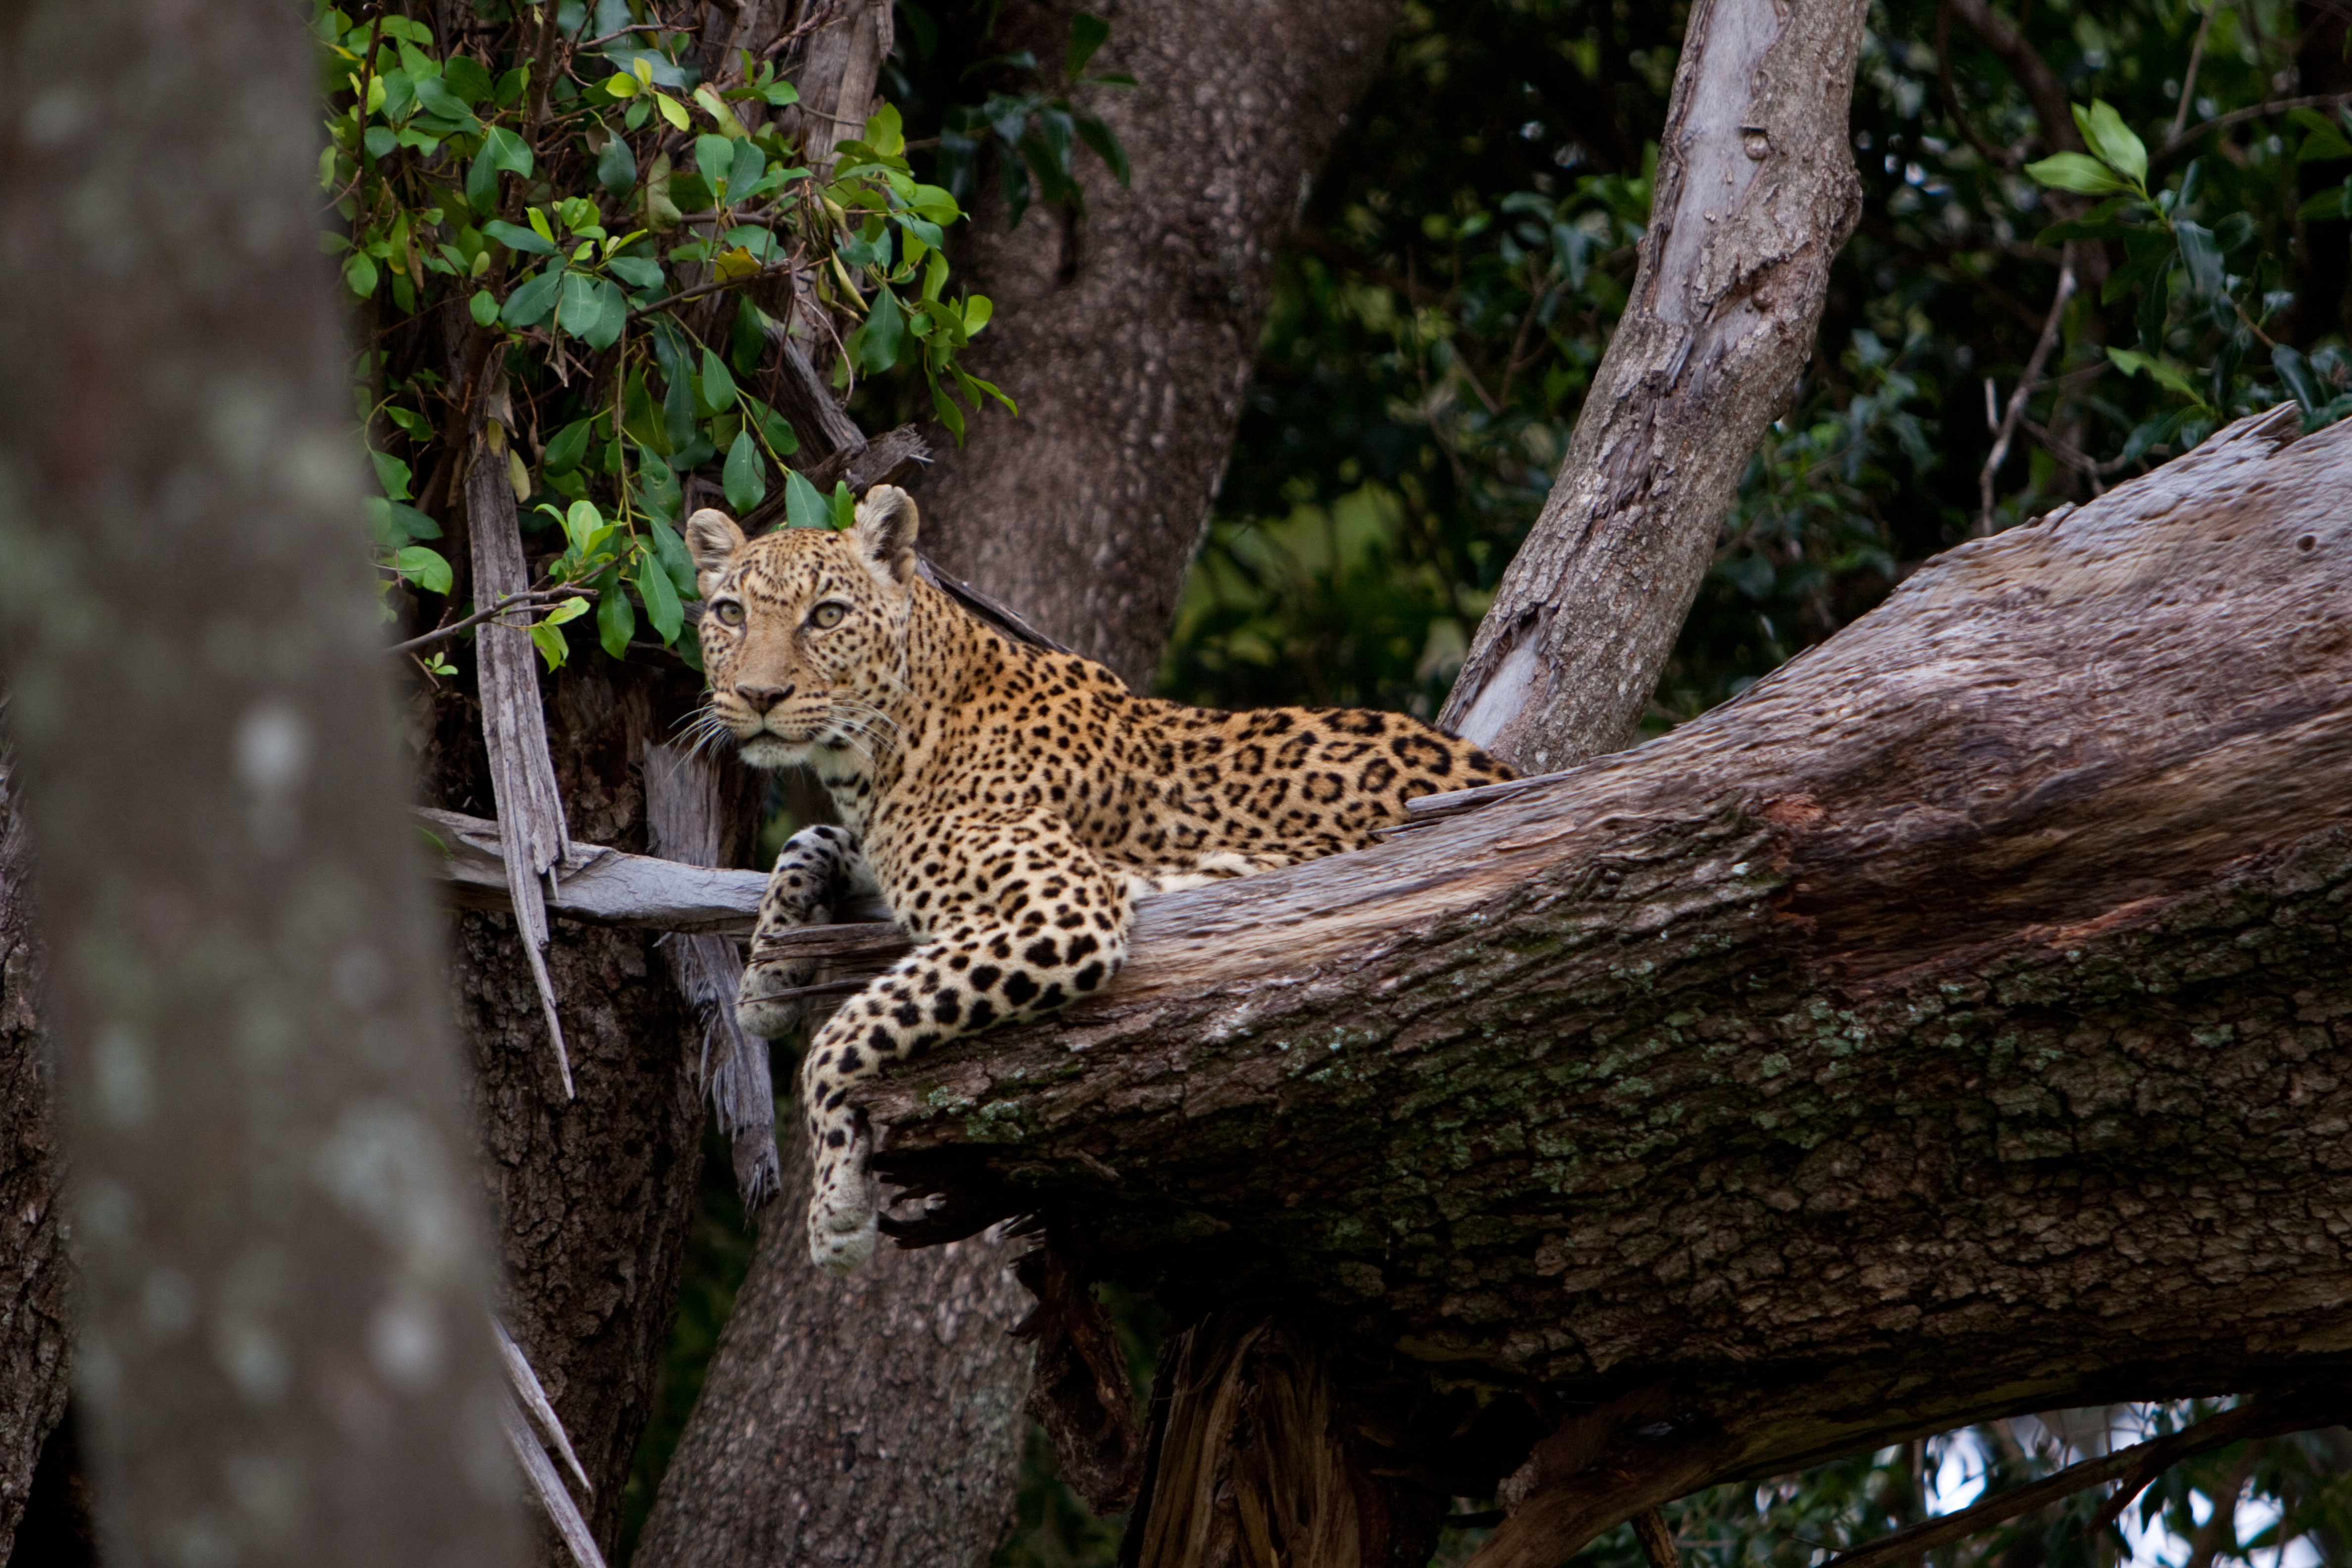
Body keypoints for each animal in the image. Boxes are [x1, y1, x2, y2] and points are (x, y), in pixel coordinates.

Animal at [685, 485, 1513, 1273]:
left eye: (826, 616)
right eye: (730, 613)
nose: (759, 697)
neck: (879, 754)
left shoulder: (1064, 911)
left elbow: (848, 1031)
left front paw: (837, 1211)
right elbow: (807, 840)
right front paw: (765, 981)